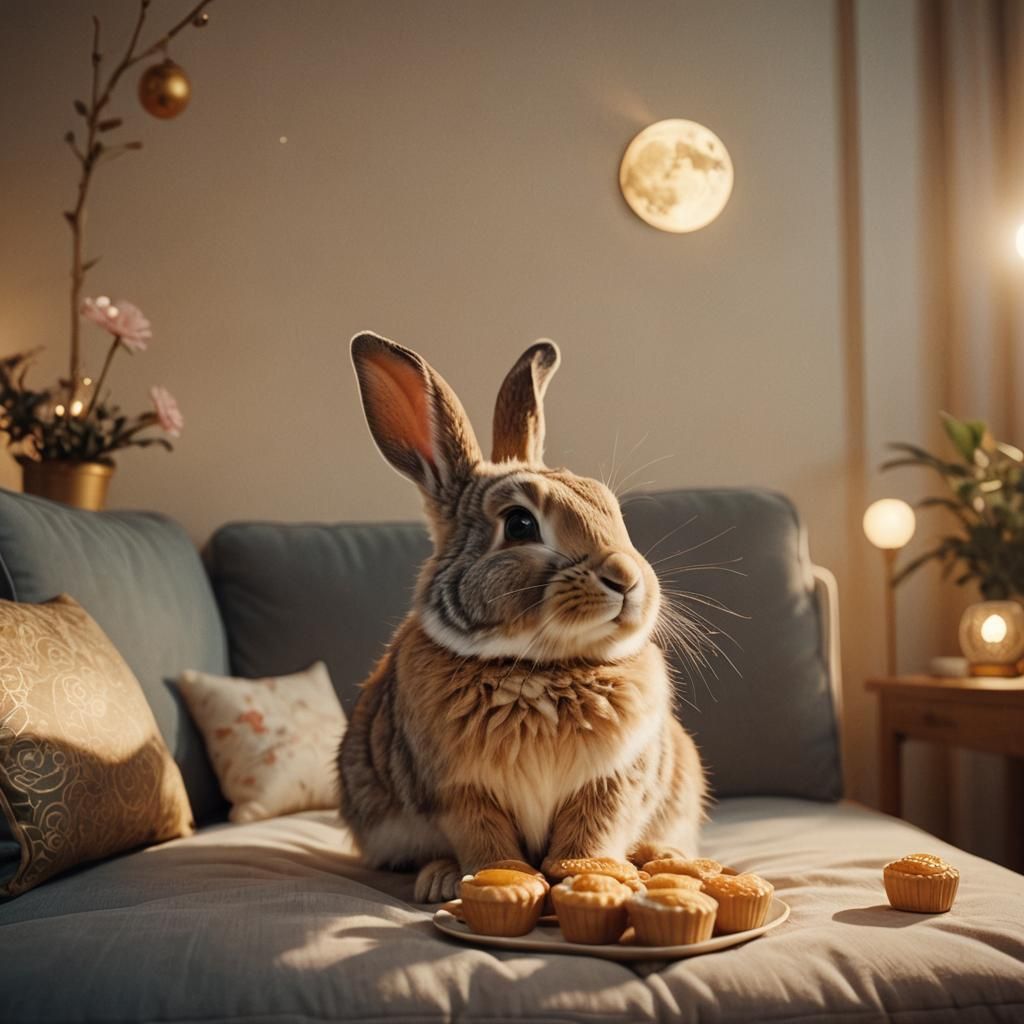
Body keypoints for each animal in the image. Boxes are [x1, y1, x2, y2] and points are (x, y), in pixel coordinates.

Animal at [338, 331, 707, 902]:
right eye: (519, 524)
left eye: (612, 511)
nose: (626, 578)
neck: (539, 667)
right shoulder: (460, 791)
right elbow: (485, 839)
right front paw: (498, 878)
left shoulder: (611, 781)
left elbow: (591, 832)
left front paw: (591, 874)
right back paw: (437, 878)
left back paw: (664, 857)